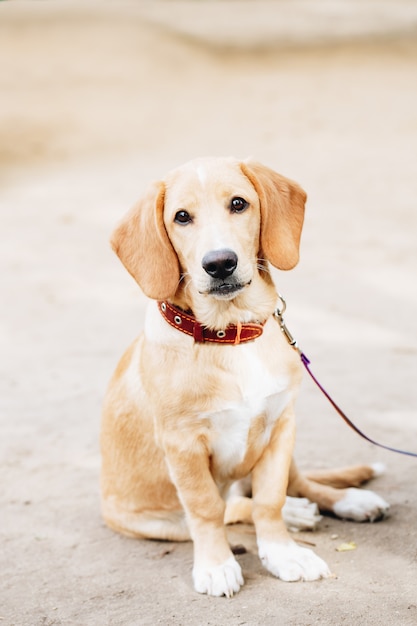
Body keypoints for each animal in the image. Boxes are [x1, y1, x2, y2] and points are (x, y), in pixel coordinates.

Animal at [100, 156, 386, 596]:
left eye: (238, 204)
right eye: (181, 217)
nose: (220, 263)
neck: (229, 333)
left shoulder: (281, 426)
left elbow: (270, 499)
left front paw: (283, 553)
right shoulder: (183, 446)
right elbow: (207, 507)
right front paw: (216, 565)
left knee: (293, 485)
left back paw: (345, 502)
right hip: (154, 521)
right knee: (230, 507)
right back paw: (298, 513)